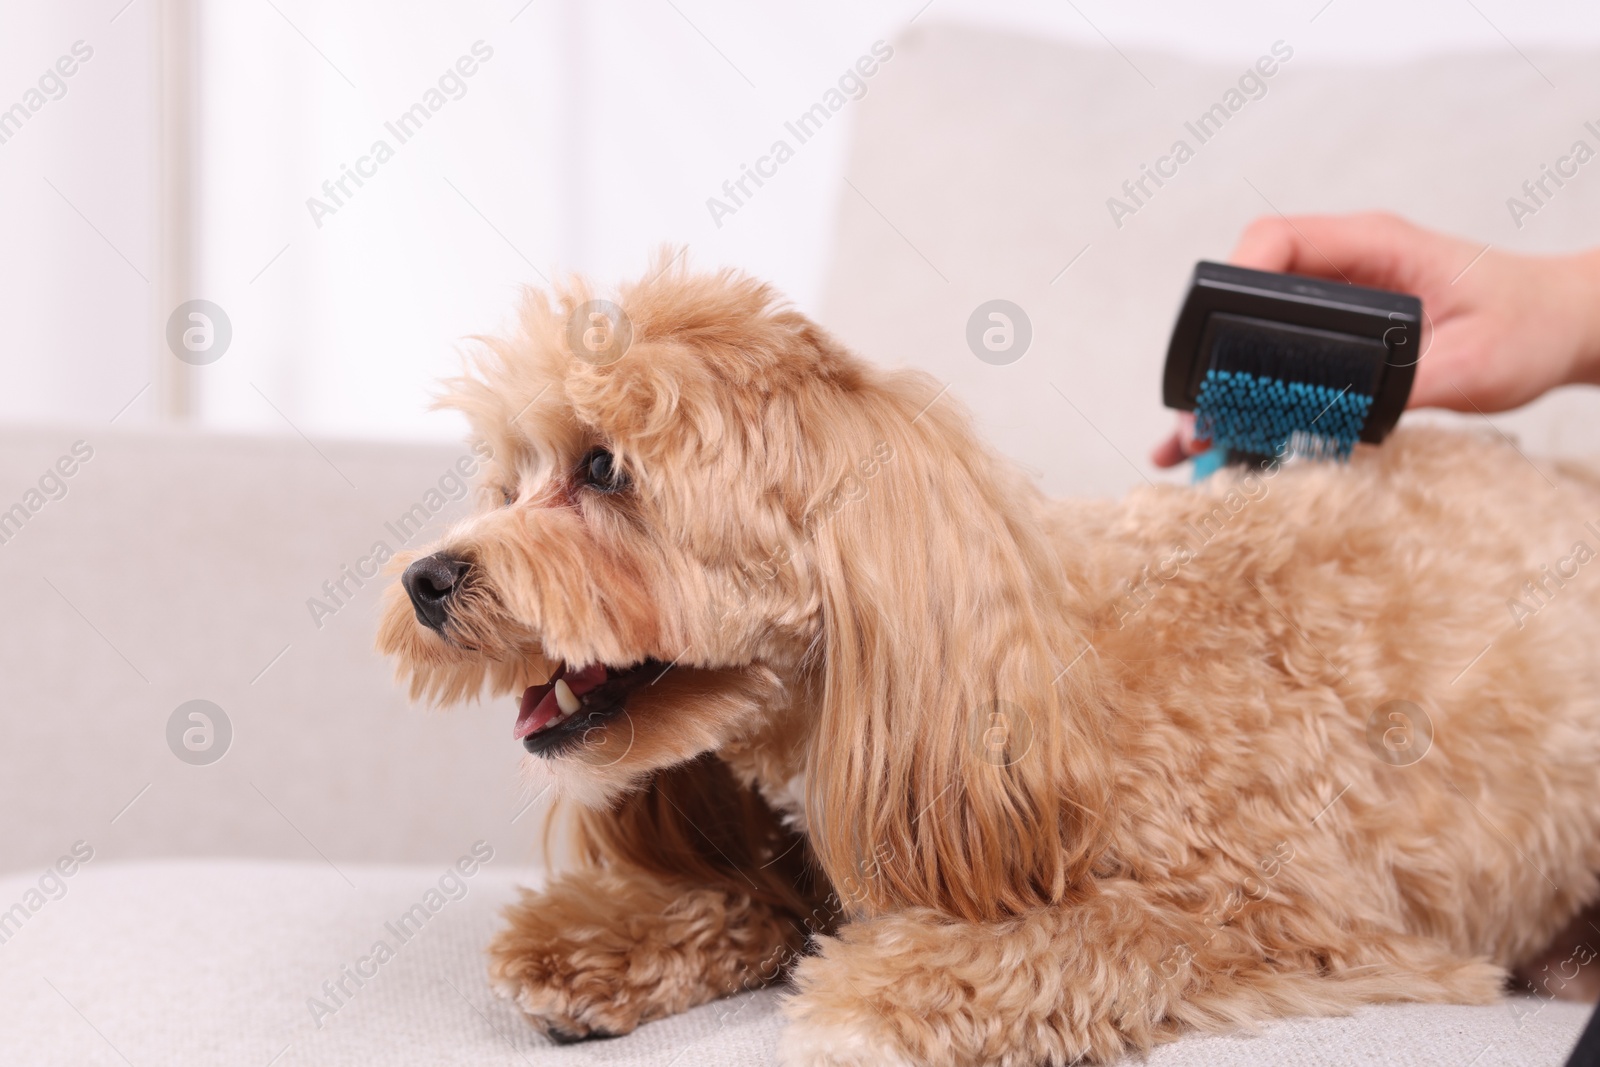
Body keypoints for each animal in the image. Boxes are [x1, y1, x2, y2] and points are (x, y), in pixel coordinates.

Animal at [377, 260, 1600, 1067]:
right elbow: (756, 890)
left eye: (604, 469)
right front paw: (611, 939)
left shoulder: (1283, 922)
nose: (427, 578)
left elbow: (1102, 937)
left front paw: (891, 988)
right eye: (508, 479)